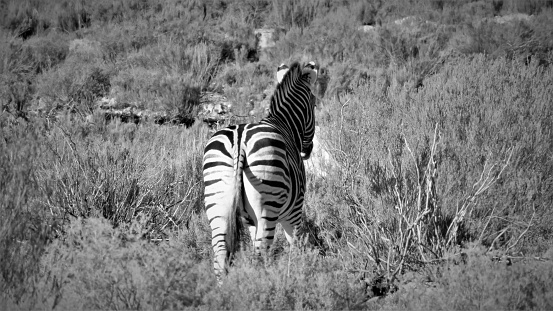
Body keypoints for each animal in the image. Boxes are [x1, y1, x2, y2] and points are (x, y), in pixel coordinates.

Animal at [203, 61, 316, 280]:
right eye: (314, 104)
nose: (308, 150)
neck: (284, 124)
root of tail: (239, 139)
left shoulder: (250, 221)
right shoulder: (295, 210)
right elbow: (295, 245)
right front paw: (296, 273)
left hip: (217, 204)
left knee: (220, 257)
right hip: (268, 205)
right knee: (260, 255)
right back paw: (261, 284)